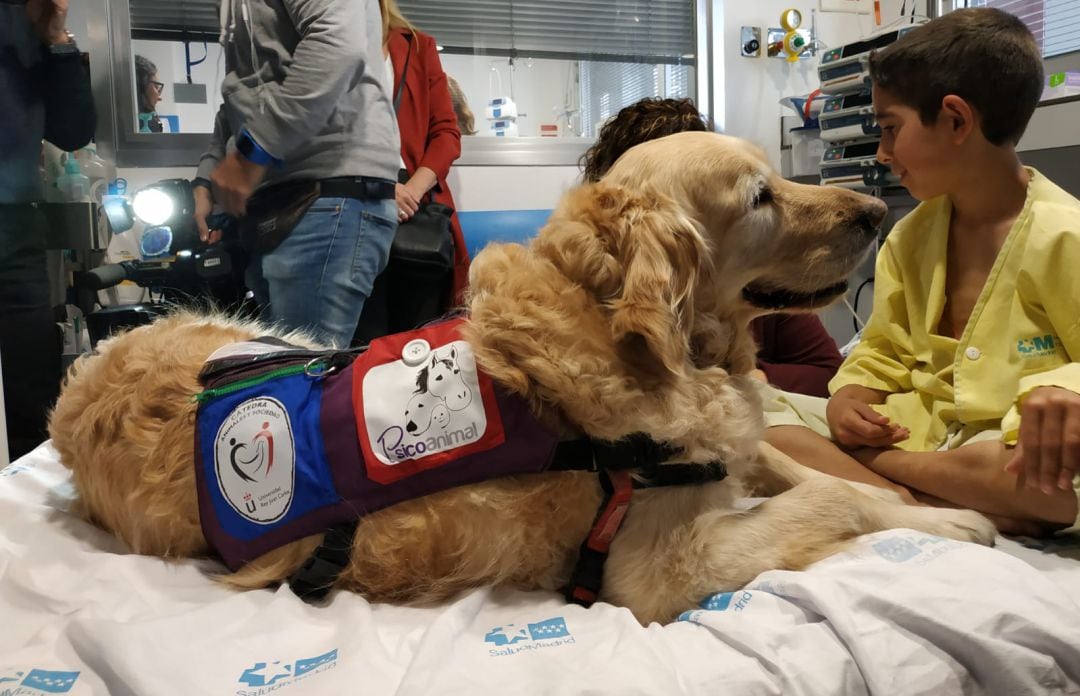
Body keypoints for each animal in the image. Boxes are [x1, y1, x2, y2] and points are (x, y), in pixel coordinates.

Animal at [50, 133, 993, 622]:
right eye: (760, 196)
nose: (873, 210)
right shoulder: (659, 573)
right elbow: (828, 496)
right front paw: (942, 519)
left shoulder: (729, 450)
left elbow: (818, 475)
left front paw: (936, 516)